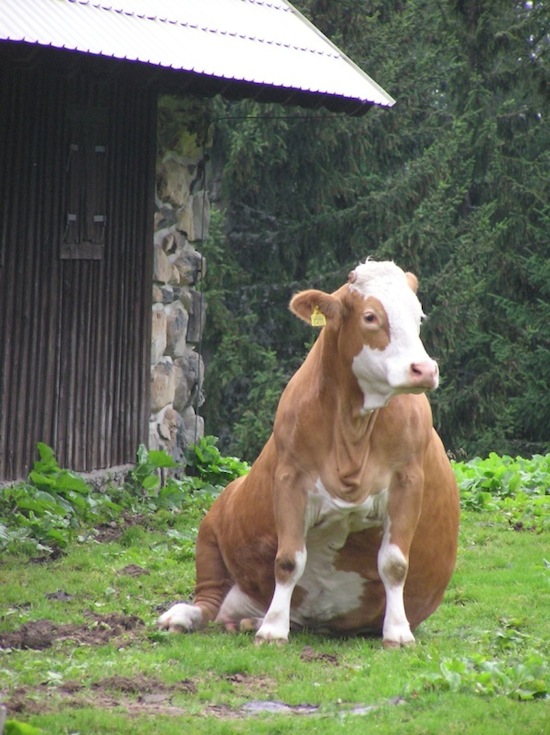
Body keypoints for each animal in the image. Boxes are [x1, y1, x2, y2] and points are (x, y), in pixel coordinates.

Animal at [158, 259, 459, 647]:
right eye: (371, 317)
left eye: (418, 315)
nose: (424, 370)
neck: (353, 431)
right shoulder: (290, 479)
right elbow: (288, 560)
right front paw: (273, 629)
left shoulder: (408, 481)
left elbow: (394, 564)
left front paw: (397, 632)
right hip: (213, 526)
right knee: (208, 601)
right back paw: (186, 617)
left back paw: (248, 622)